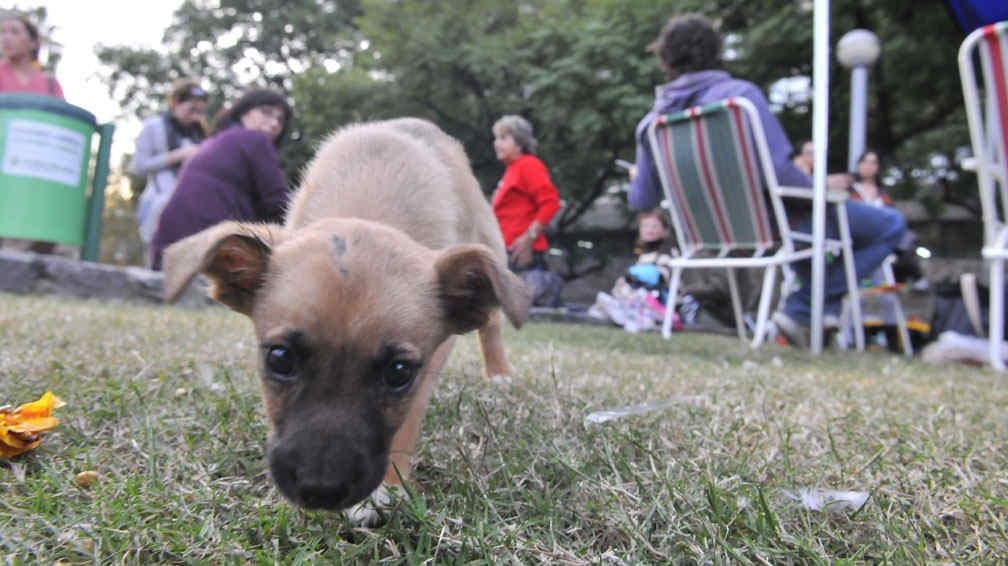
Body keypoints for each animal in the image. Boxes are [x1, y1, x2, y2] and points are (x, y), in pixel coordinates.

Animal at [161, 116, 532, 519]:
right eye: (279, 358)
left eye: (400, 372)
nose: (321, 491)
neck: (369, 204)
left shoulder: (429, 362)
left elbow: (409, 419)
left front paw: (388, 486)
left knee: (491, 321)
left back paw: (499, 372)